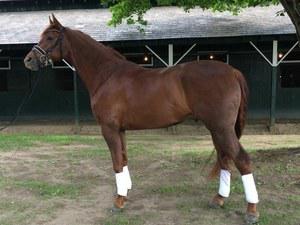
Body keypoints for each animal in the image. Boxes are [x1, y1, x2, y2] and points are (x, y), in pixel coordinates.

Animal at [24, 14, 258, 224]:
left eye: (50, 37)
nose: (28, 60)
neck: (107, 75)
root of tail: (232, 71)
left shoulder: (108, 128)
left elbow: (116, 162)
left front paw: (118, 202)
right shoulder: (120, 129)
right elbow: (124, 159)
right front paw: (125, 192)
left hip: (221, 128)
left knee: (242, 160)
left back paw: (251, 211)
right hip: (217, 129)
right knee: (226, 159)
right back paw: (218, 199)